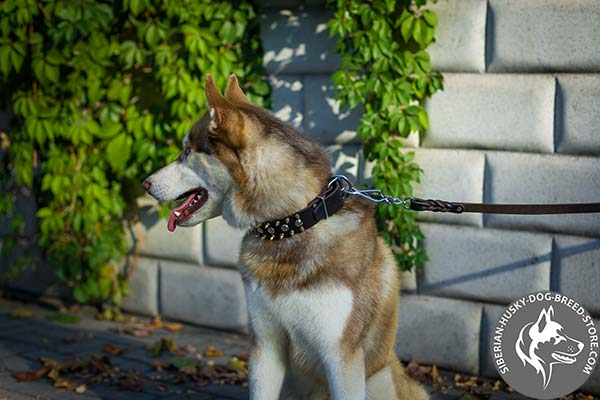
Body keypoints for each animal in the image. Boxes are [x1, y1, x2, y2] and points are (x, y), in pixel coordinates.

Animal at [144, 73, 426, 398]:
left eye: (187, 152)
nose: (145, 183)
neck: (292, 223)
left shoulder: (341, 356)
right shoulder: (265, 345)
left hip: (379, 378)